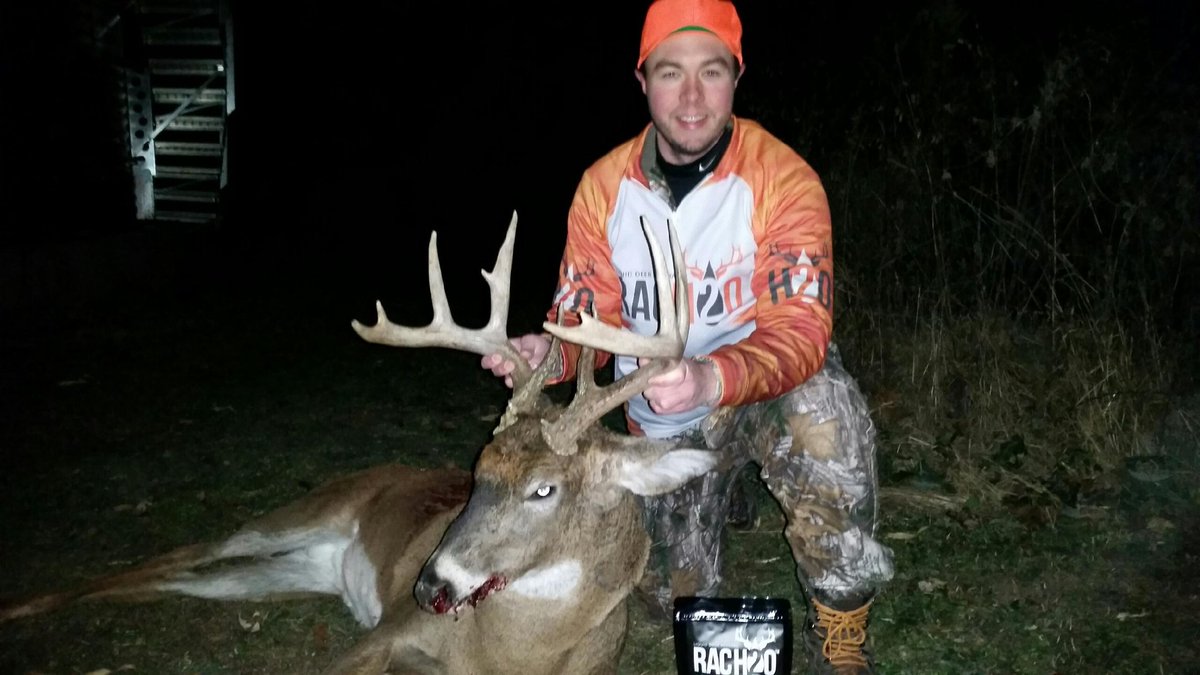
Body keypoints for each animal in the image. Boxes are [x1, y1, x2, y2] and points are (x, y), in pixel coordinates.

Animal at [0, 211, 718, 674]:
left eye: (545, 489)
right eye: (478, 467)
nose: (430, 584)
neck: (516, 652)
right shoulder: (390, 632)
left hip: (283, 574)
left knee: (182, 579)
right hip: (304, 509)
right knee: (184, 552)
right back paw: (22, 602)